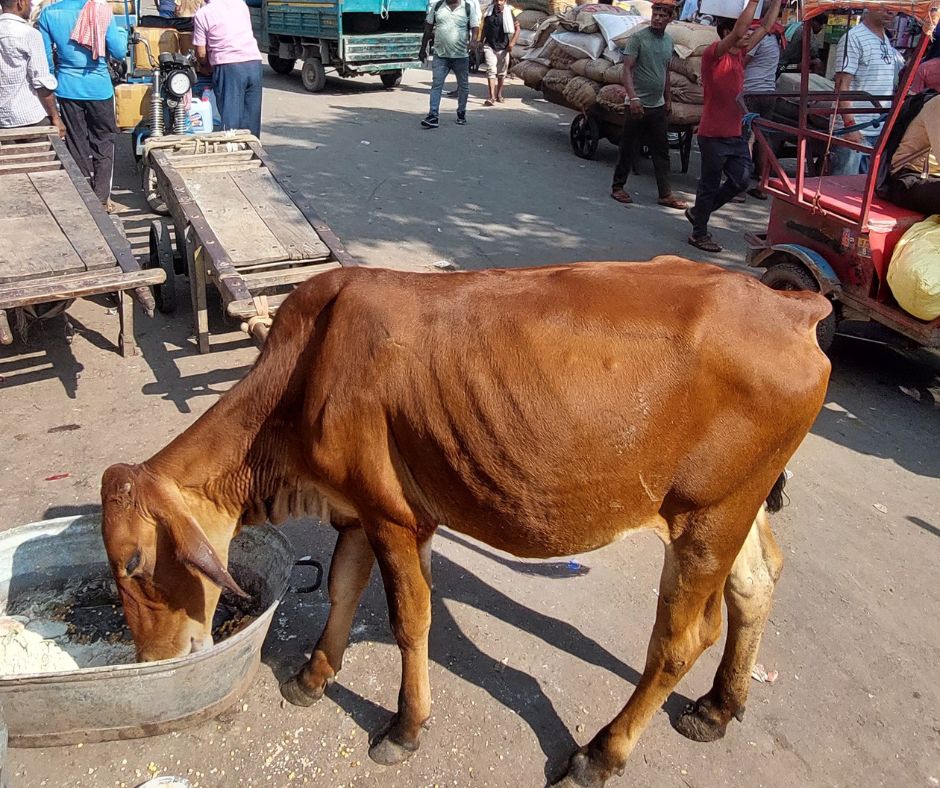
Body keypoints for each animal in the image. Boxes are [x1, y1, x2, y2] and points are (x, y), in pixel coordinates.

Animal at [99, 258, 828, 780]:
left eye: (134, 564)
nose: (151, 661)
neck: (300, 375)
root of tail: (789, 306)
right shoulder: (358, 509)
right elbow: (340, 588)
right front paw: (312, 675)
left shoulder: (396, 519)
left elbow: (409, 621)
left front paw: (405, 727)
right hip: (735, 510)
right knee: (755, 585)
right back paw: (719, 707)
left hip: (706, 518)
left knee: (681, 639)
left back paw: (601, 754)